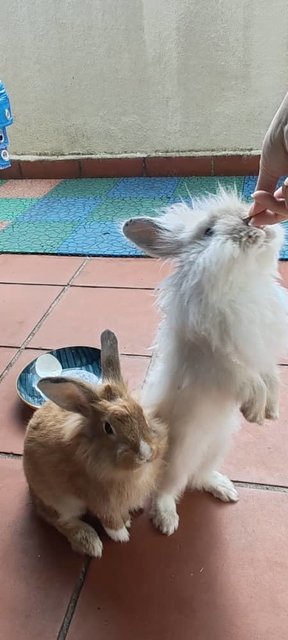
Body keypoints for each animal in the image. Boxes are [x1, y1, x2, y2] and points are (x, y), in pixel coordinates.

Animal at [23, 330, 168, 556]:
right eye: (108, 428)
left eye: (141, 413)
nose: (145, 454)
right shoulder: (98, 498)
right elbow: (109, 519)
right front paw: (121, 535)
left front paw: (128, 518)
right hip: (61, 502)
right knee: (57, 520)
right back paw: (89, 542)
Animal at [123, 189, 288, 536]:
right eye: (209, 231)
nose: (251, 222)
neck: (241, 283)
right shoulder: (214, 359)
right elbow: (244, 375)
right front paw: (256, 409)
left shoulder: (261, 350)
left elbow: (269, 375)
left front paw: (270, 410)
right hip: (180, 454)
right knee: (167, 488)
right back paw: (167, 521)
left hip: (218, 446)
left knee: (198, 478)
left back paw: (225, 489)